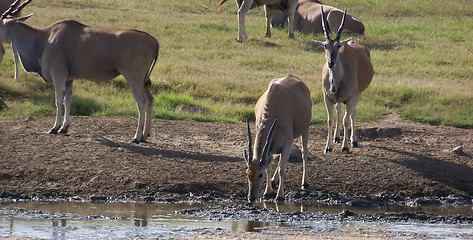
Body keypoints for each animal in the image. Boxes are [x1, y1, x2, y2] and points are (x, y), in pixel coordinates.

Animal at [0, 0, 159, 142]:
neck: (45, 39)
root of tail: (153, 41)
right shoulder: (69, 79)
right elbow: (68, 99)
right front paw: (64, 128)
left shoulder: (58, 75)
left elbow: (59, 100)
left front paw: (54, 128)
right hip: (143, 81)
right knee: (150, 101)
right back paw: (145, 135)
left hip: (133, 79)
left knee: (142, 103)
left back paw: (136, 137)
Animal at [312, 7, 374, 154]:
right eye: (325, 45)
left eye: (338, 45)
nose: (330, 63)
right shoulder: (327, 98)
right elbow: (330, 119)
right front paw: (328, 146)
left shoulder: (351, 98)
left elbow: (347, 119)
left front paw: (345, 146)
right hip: (340, 99)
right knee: (339, 109)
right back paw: (336, 137)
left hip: (358, 94)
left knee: (352, 114)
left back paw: (353, 141)